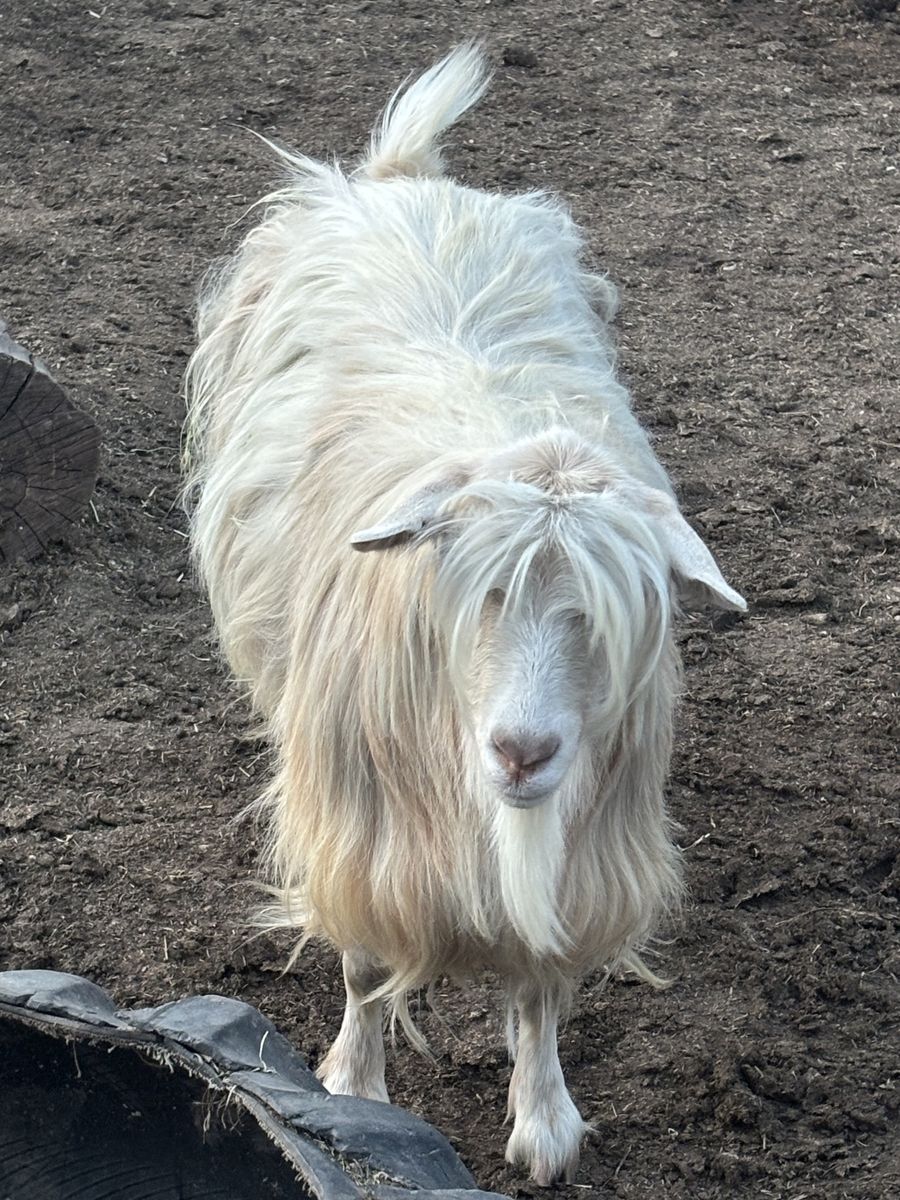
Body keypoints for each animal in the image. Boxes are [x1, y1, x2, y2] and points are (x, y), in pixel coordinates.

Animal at [183, 44, 746, 1185]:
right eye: (476, 593)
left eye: (601, 620)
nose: (523, 751)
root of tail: (404, 179)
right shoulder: (359, 826)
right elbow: (363, 967)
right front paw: (353, 1095)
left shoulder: (583, 843)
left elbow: (539, 983)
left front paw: (546, 1118)